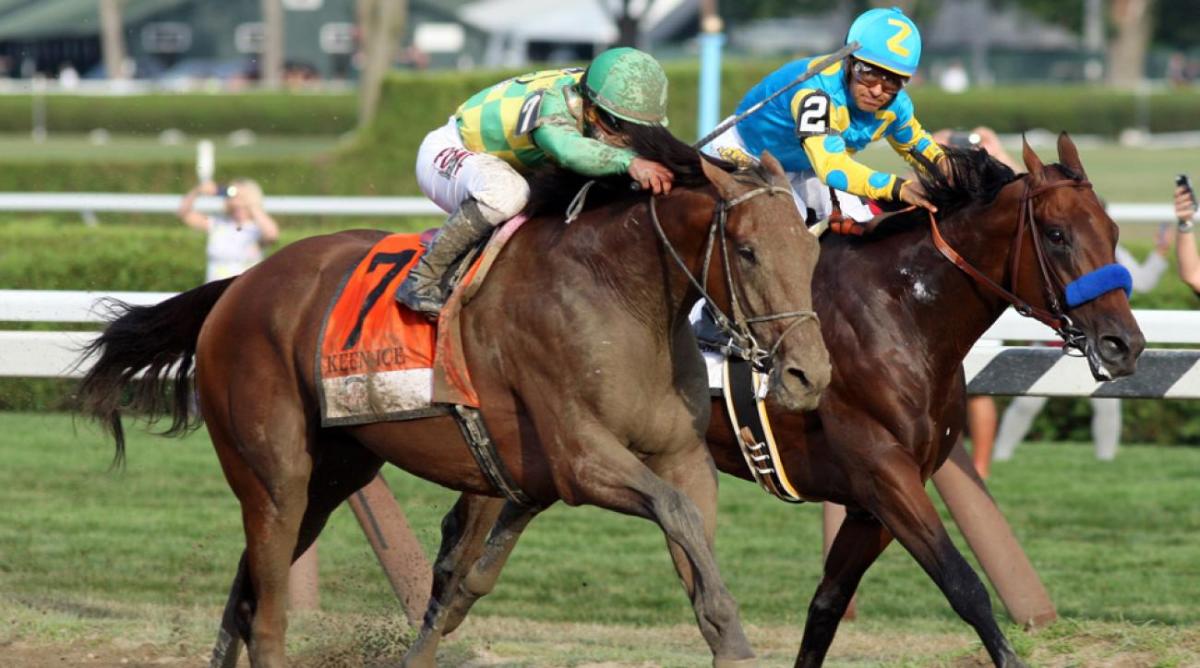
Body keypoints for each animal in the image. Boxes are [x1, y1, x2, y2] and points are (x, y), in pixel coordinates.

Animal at [75, 130, 833, 667]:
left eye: (812, 250)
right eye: (747, 251)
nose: (809, 375)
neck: (618, 293)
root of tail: (239, 285)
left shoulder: (675, 456)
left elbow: (688, 532)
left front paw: (726, 632)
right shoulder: (579, 459)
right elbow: (671, 513)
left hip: (334, 472)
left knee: (247, 593)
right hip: (273, 473)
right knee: (265, 615)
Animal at [399, 133, 1143, 668]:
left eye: (1111, 229)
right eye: (1056, 235)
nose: (1124, 345)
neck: (902, 313)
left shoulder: (873, 499)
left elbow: (826, 606)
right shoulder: (885, 473)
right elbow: (964, 586)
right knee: (459, 547)